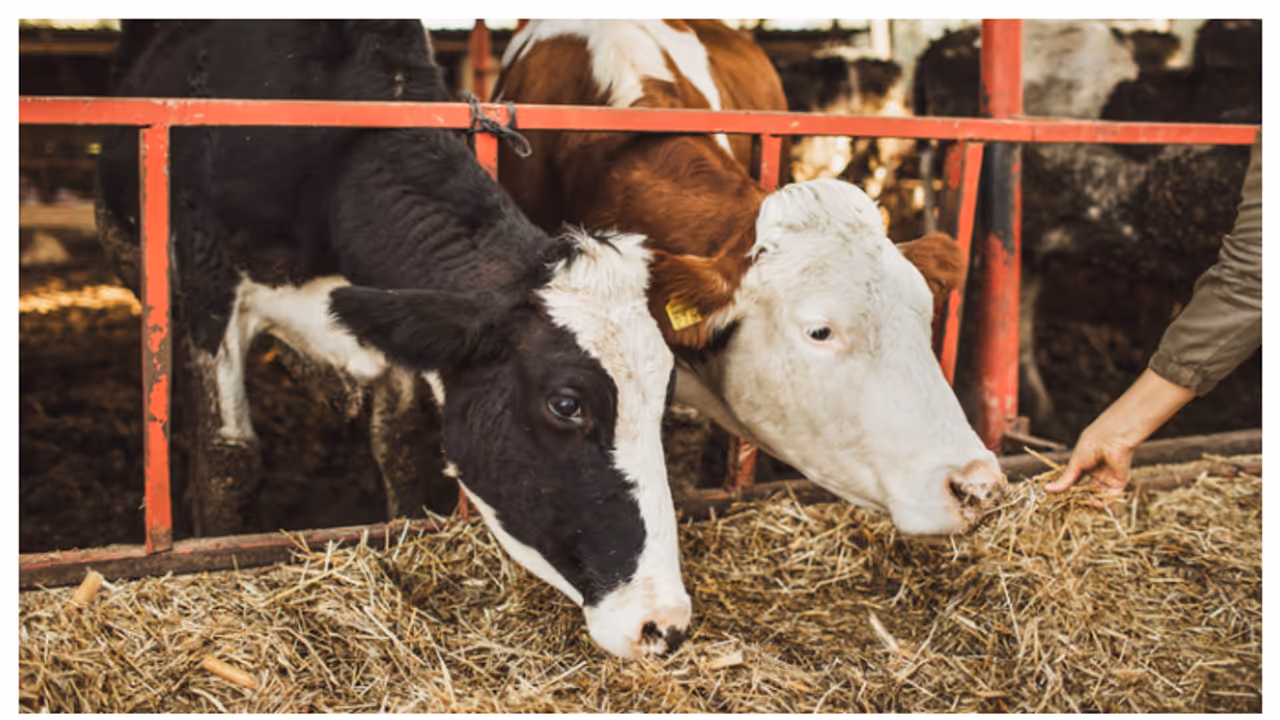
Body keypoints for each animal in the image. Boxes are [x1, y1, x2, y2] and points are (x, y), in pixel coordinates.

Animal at [95, 20, 689, 660]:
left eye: (666, 395)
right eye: (566, 404)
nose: (664, 624)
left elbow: (400, 443)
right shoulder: (208, 283)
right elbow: (228, 455)